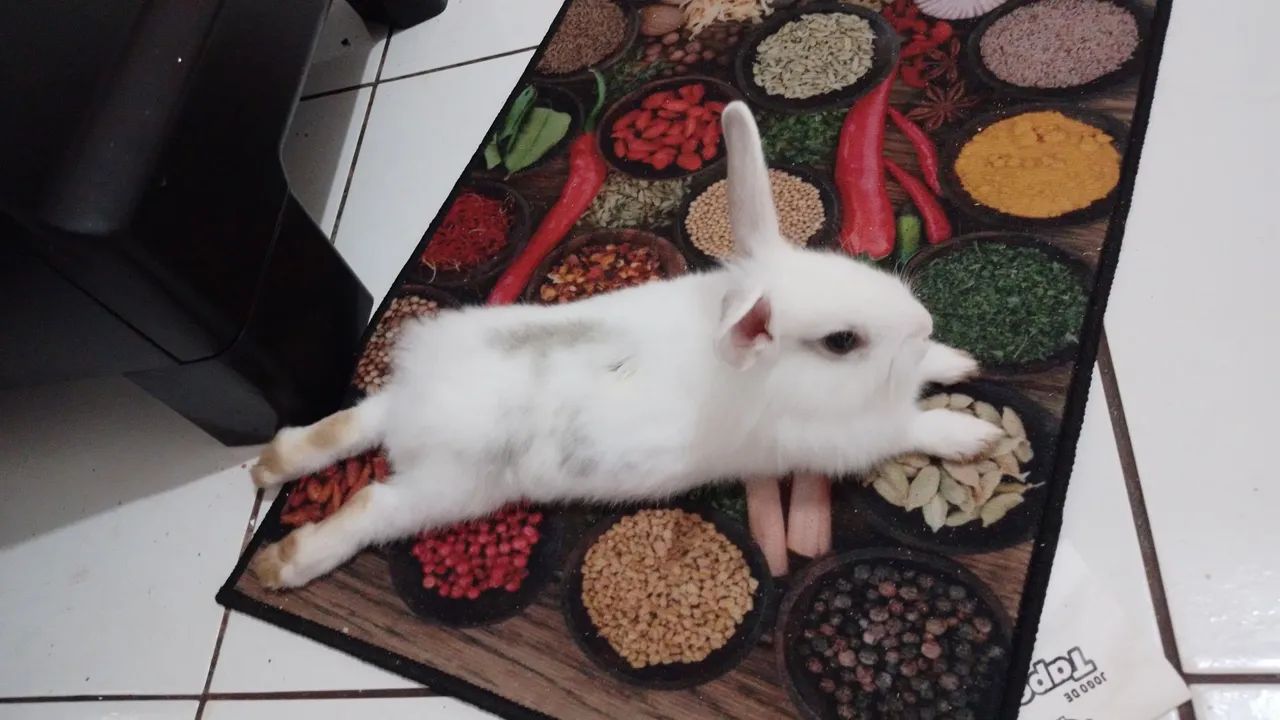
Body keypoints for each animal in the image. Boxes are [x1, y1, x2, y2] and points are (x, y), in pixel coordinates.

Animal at [247, 101, 999, 590]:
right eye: (842, 342)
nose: (923, 322)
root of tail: (420, 411)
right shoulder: (846, 438)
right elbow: (906, 427)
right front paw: (972, 437)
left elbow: (924, 376)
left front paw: (958, 360)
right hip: (450, 489)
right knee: (372, 504)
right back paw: (281, 564)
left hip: (399, 405)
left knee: (346, 425)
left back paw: (270, 464)